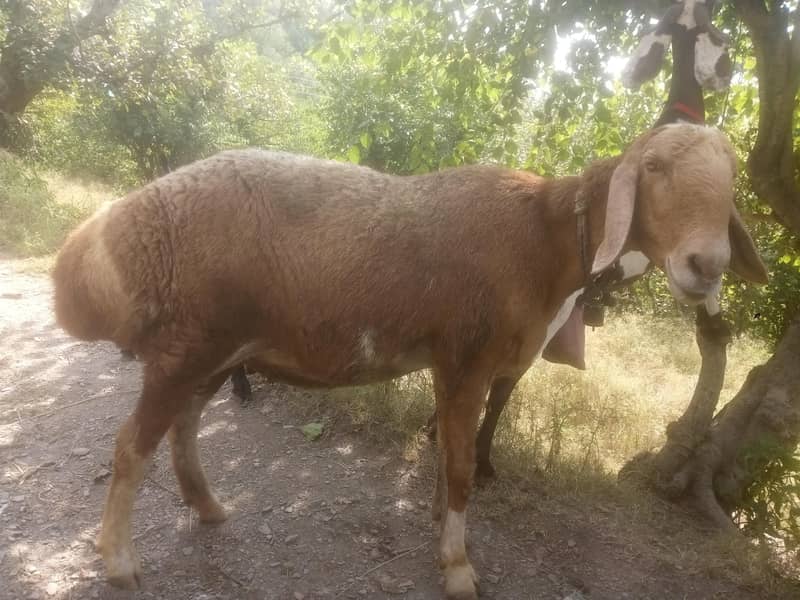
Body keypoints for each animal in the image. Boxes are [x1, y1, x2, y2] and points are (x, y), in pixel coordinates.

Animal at [51, 123, 768, 599]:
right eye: (655, 169)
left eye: (732, 180)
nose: (706, 264)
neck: (544, 237)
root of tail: (99, 240)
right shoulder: (469, 358)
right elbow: (459, 465)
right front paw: (456, 565)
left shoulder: (456, 364)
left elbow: (449, 453)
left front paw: (440, 530)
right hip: (187, 344)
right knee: (131, 445)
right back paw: (119, 560)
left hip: (213, 347)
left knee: (184, 424)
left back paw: (206, 506)